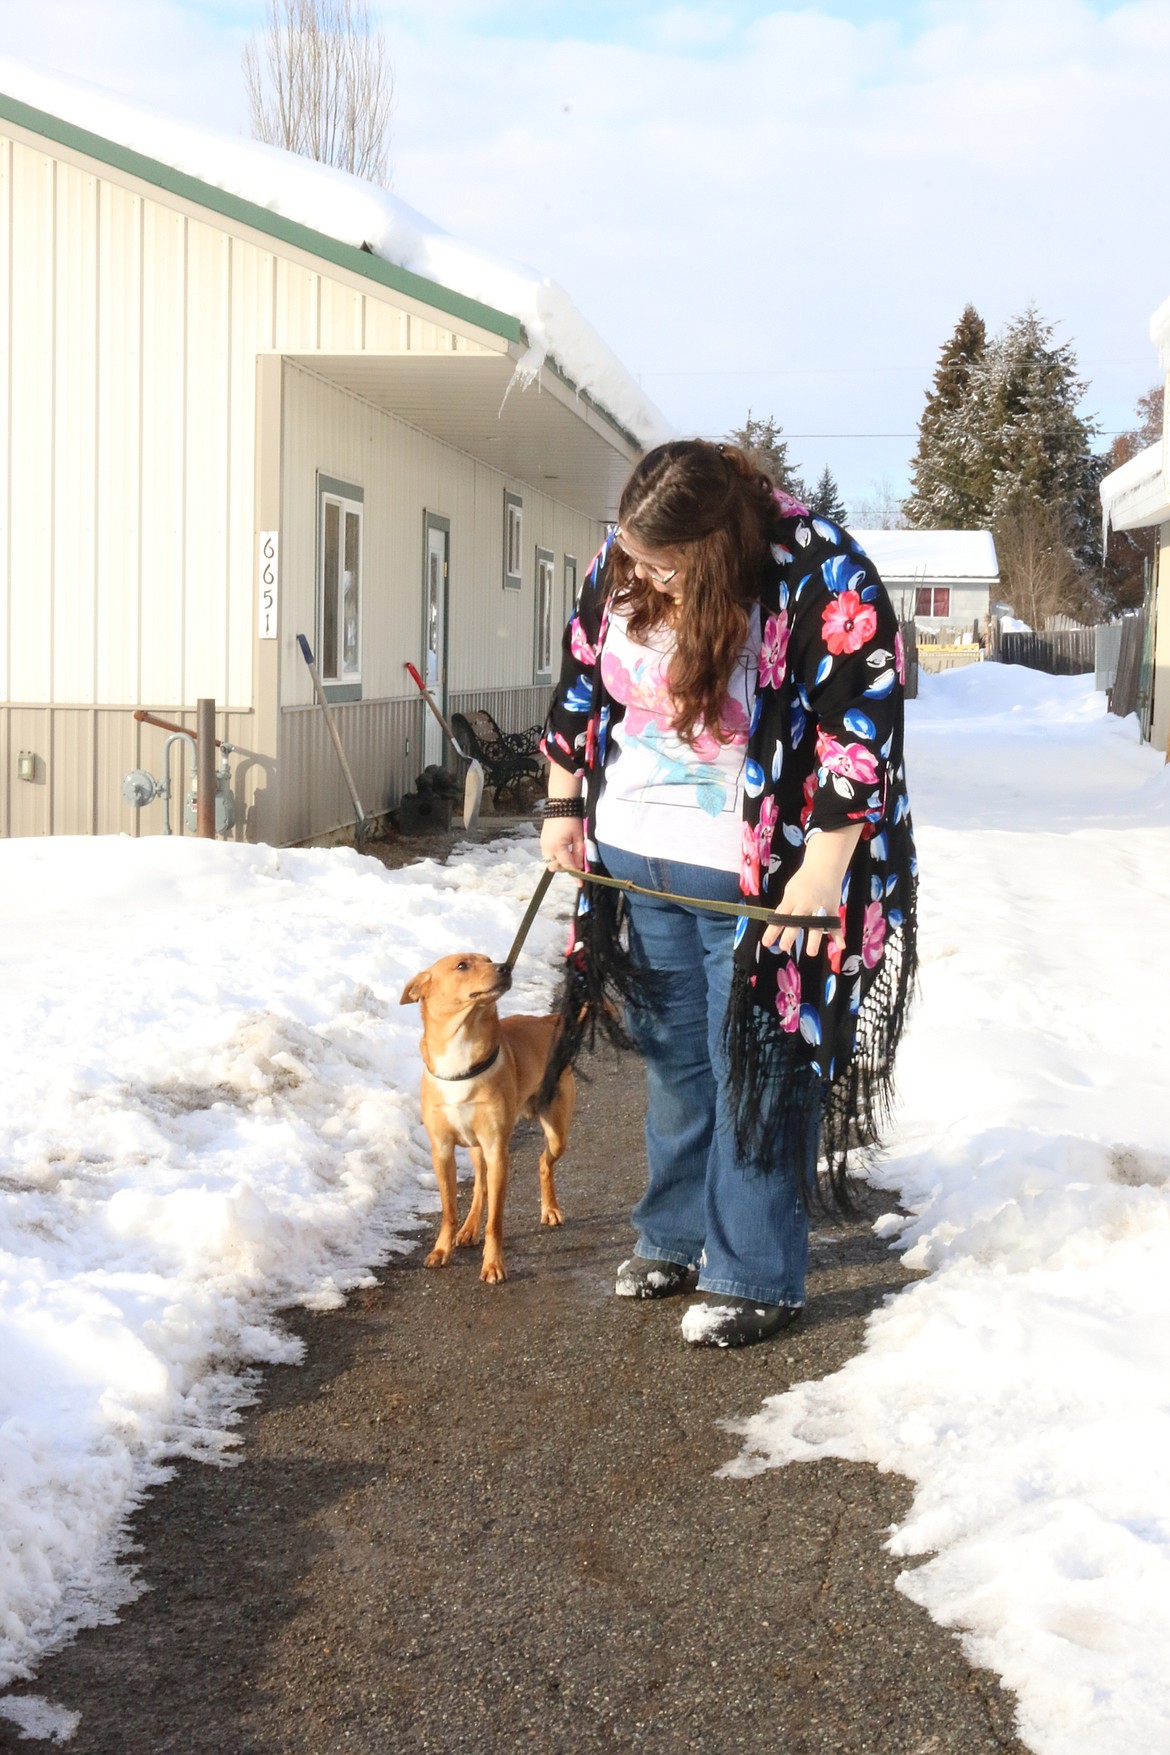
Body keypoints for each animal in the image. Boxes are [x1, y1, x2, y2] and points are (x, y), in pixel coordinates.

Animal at [398, 954, 575, 1284]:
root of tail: (546, 1020)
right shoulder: (442, 1151)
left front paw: (493, 1265)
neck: (461, 1047)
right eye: (462, 965)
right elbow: (449, 1210)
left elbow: (495, 1221)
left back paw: (550, 1209)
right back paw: (468, 1229)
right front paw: (441, 1251)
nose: (505, 967)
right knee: (480, 1185)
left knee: (543, 1163)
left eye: (489, 959)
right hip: (475, 1148)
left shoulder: (496, 1150)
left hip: (556, 1131)